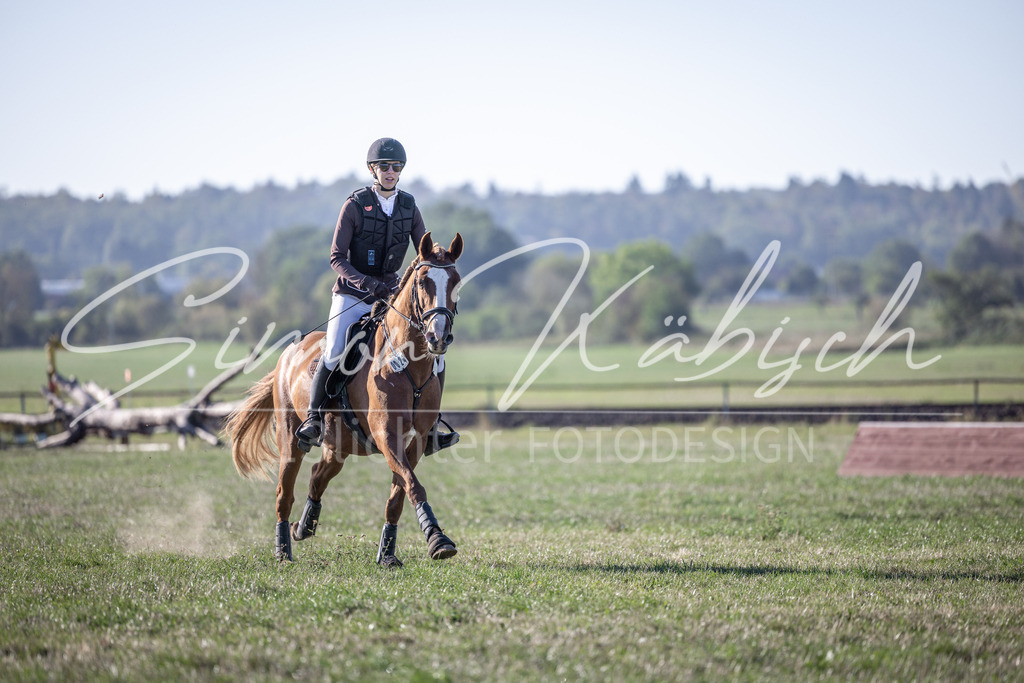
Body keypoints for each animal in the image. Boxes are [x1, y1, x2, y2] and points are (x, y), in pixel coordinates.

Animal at [226, 231, 463, 567]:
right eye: (422, 282)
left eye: (455, 281)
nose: (438, 337)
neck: (409, 364)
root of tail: (288, 353)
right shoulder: (386, 435)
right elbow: (413, 485)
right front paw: (437, 539)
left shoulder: (415, 441)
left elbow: (399, 493)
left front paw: (388, 555)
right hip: (291, 439)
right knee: (284, 493)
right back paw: (283, 550)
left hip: (339, 444)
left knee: (317, 476)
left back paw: (305, 526)